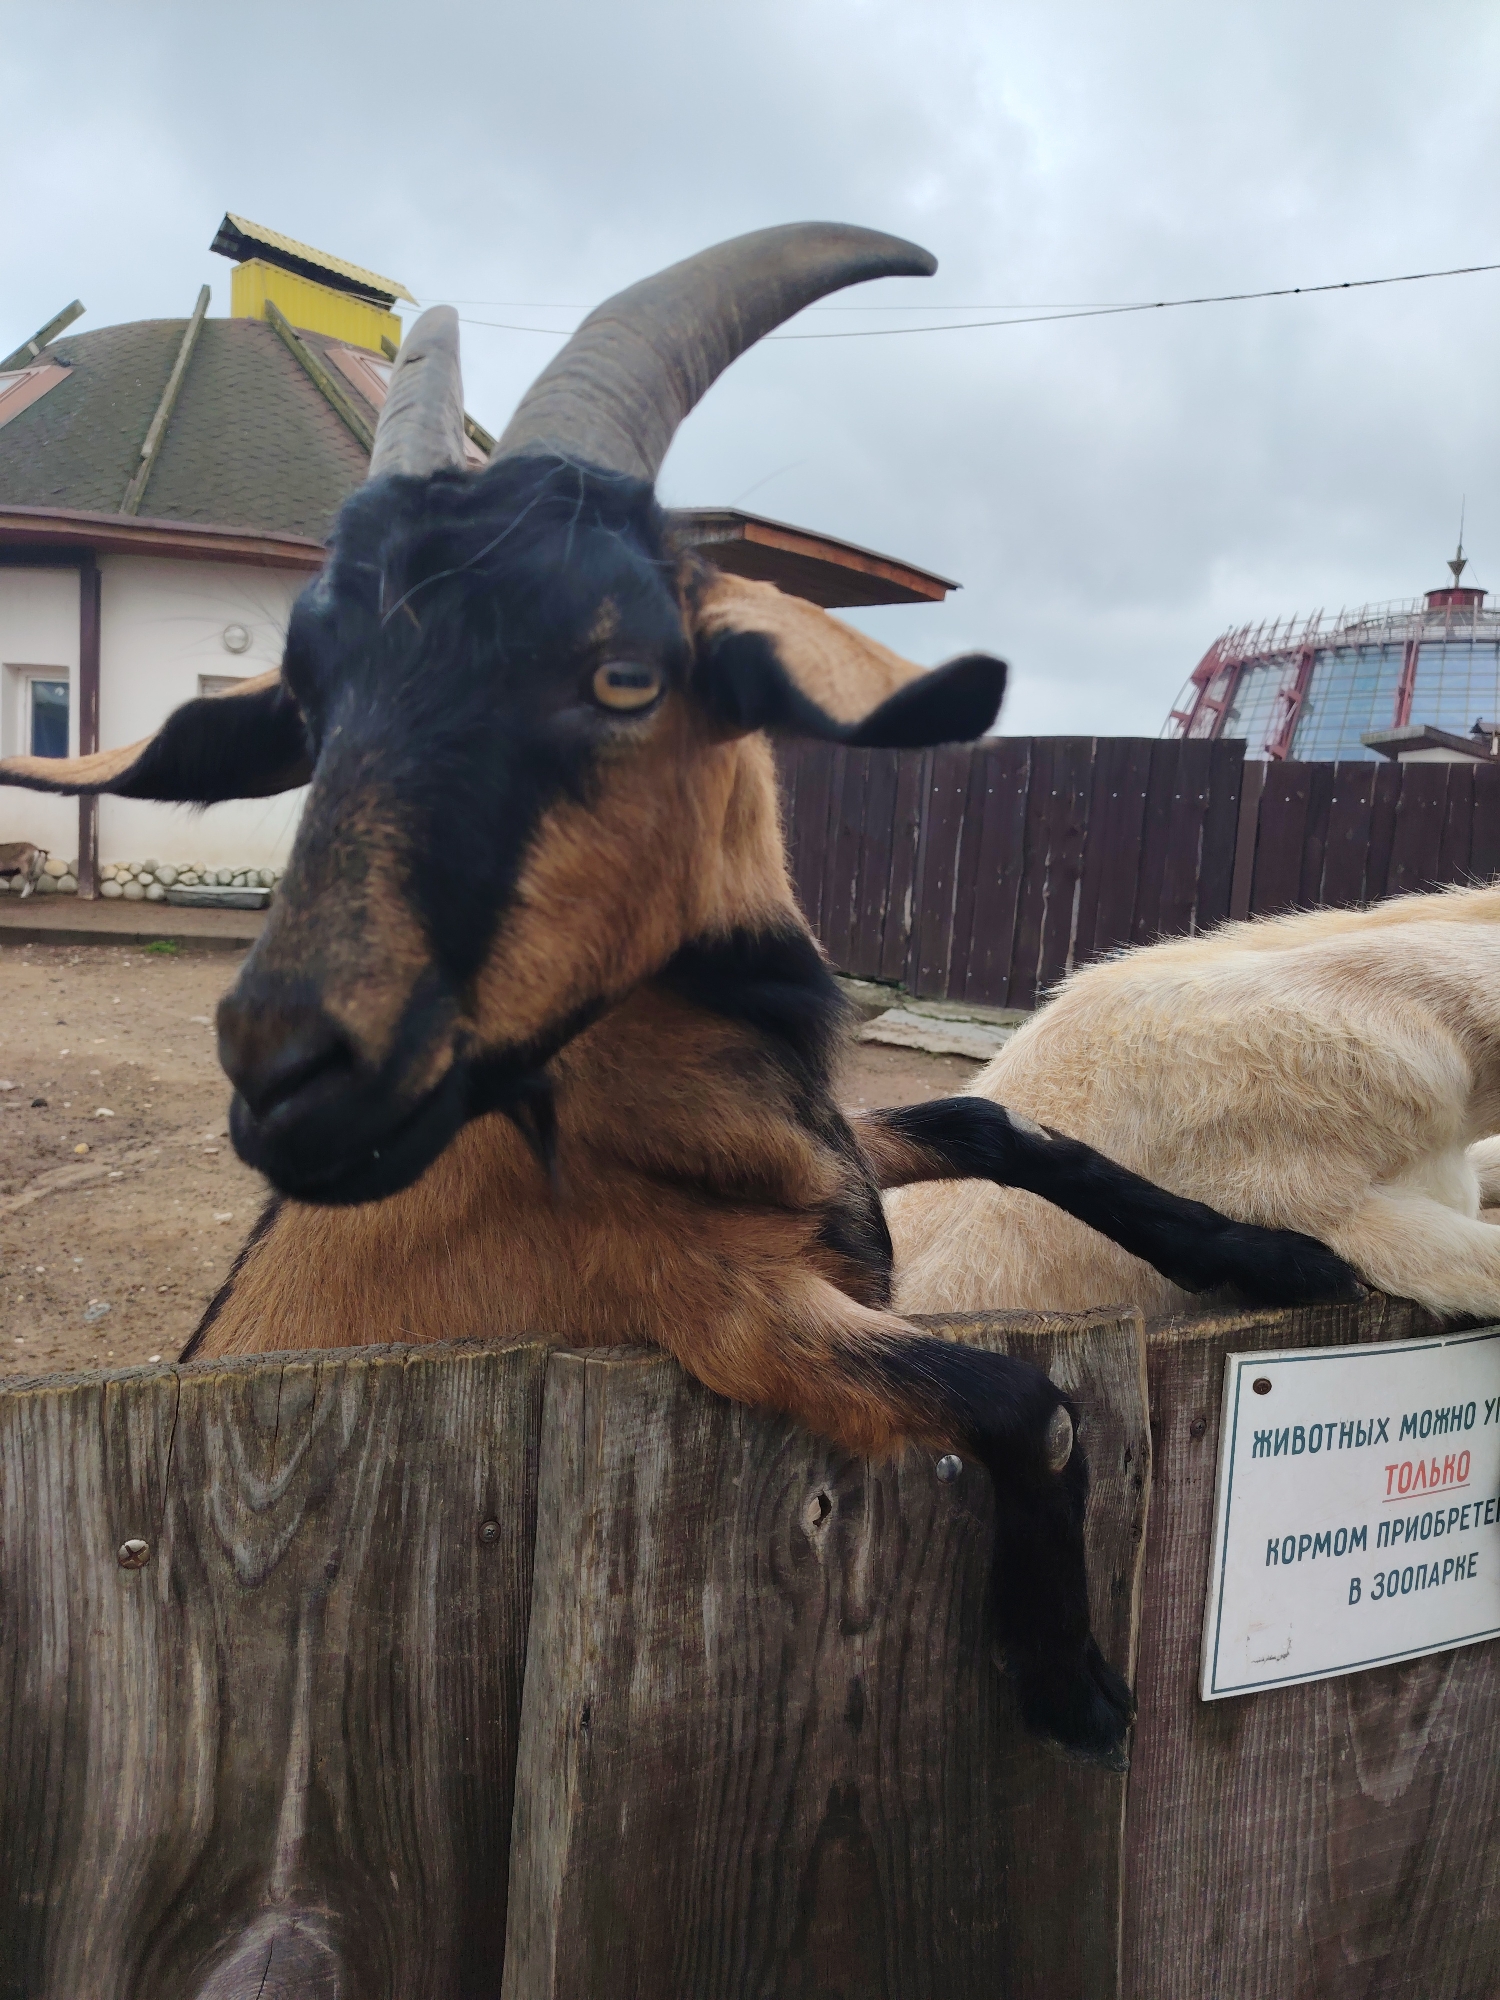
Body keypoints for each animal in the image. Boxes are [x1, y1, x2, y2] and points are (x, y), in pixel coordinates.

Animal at [0, 223, 1357, 1763]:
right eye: (310, 705)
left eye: (625, 671)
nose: (284, 1075)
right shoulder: (714, 1309)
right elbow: (1031, 1400)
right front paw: (1068, 1680)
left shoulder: (832, 1157)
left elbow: (991, 1125)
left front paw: (1279, 1256)